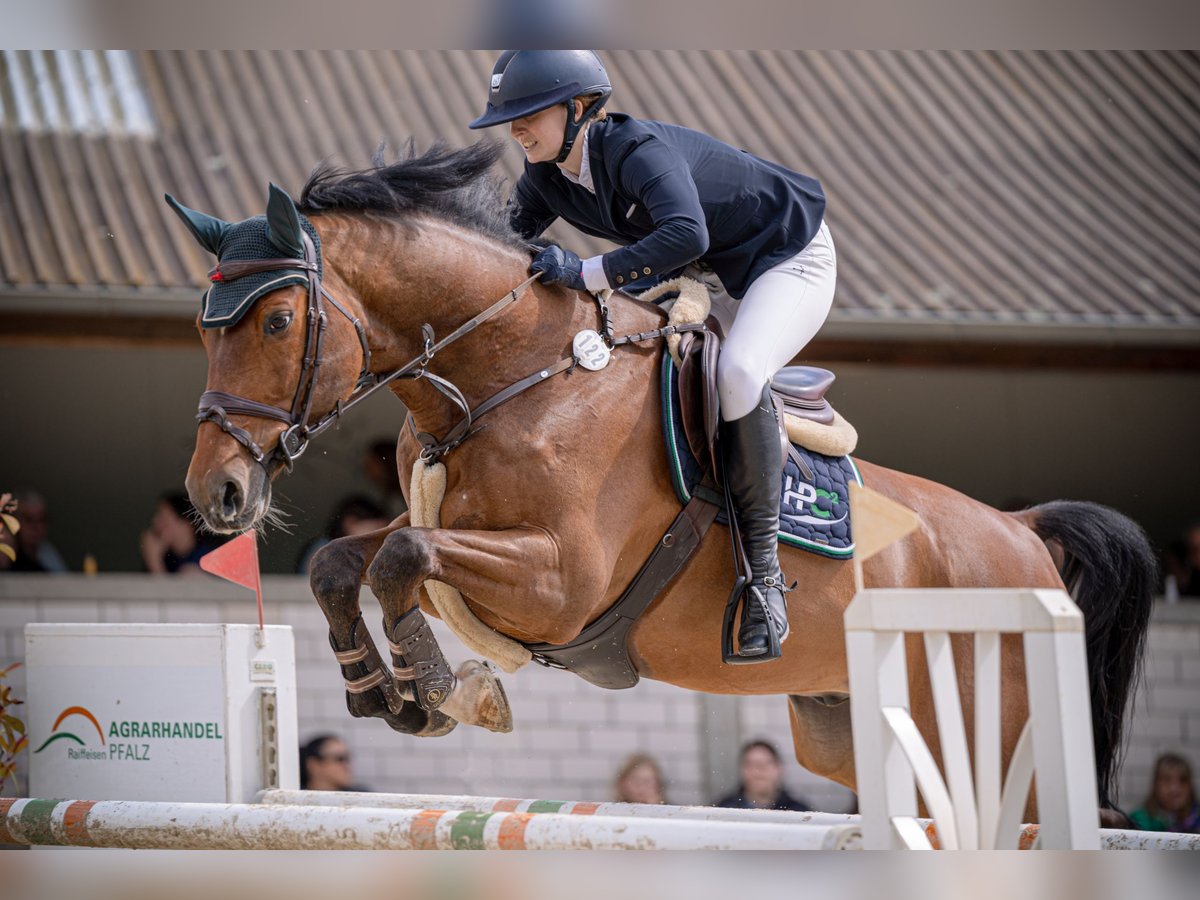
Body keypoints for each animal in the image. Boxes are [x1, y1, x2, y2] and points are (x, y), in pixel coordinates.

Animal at [169, 139, 1152, 816]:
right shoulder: (465, 532)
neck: (503, 374)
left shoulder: (560, 582)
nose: (218, 494)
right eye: (204, 328)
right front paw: (385, 694)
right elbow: (346, 562)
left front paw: (442, 690)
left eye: (277, 321)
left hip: (997, 728)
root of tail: (1024, 531)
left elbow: (404, 559)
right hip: (846, 725)